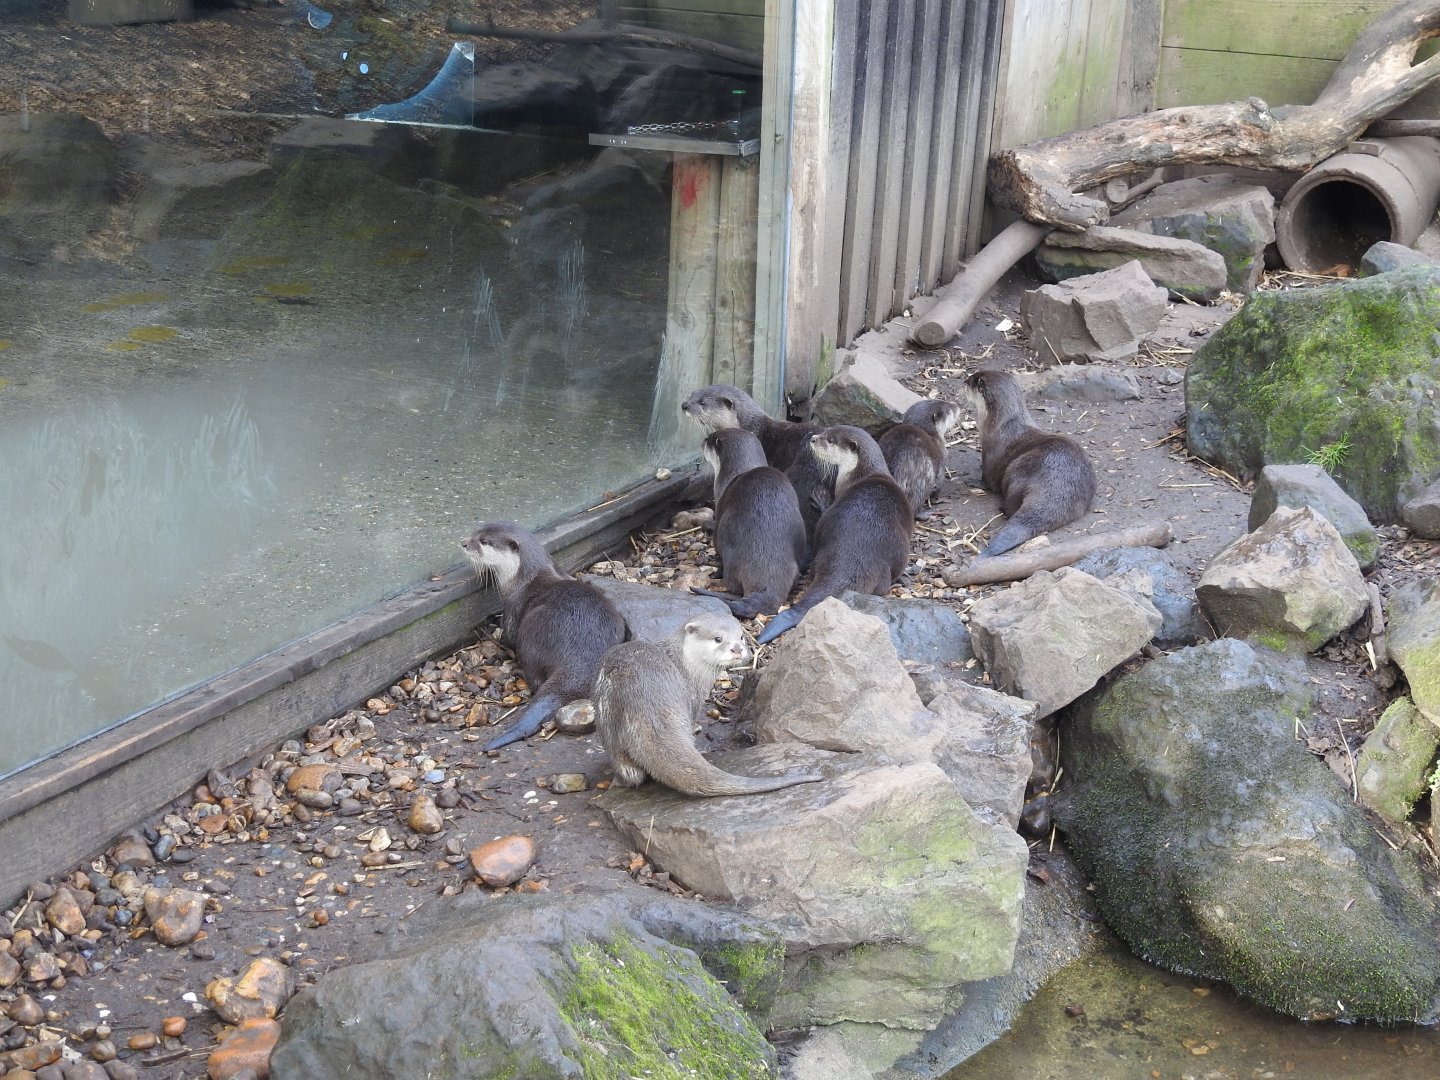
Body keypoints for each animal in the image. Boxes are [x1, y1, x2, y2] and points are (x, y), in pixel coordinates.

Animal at [459, 522, 628, 751]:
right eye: (476, 531)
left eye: (484, 541)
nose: (464, 543)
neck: (521, 578)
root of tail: (582, 662)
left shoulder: (513, 604)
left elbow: (507, 638)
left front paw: (487, 628)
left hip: (531, 634)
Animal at [594, 614, 824, 796]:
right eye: (718, 638)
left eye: (741, 636)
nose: (737, 649)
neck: (684, 663)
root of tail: (645, 706)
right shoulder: (694, 697)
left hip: (608, 727)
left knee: (631, 773)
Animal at [960, 368, 1096, 558]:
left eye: (973, 380)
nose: (964, 382)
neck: (999, 425)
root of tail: (1058, 488)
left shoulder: (990, 454)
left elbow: (988, 480)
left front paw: (973, 482)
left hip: (1016, 470)